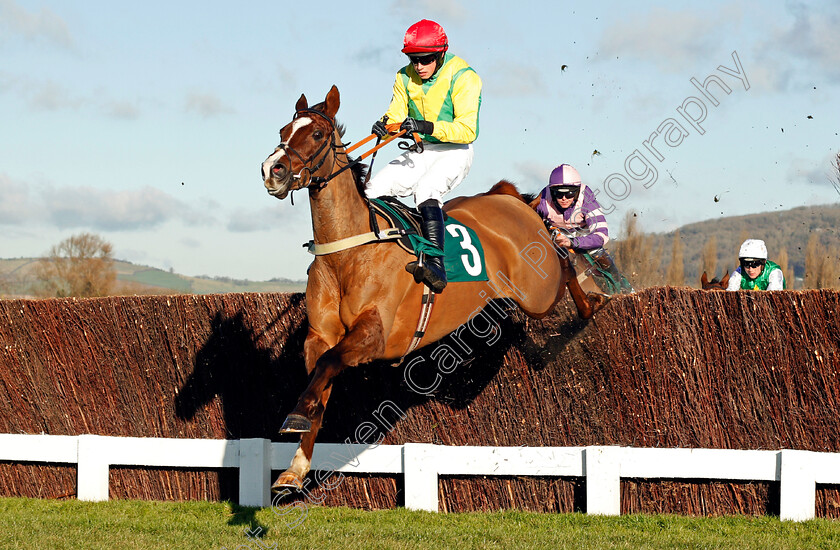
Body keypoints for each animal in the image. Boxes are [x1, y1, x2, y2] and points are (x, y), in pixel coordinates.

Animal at [260, 85, 600, 492]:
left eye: (316, 134)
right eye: (283, 131)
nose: (272, 170)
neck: (348, 251)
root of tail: (505, 197)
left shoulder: (375, 334)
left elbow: (328, 365)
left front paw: (295, 418)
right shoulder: (320, 335)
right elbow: (319, 380)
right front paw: (294, 468)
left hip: (540, 290)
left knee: (562, 261)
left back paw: (590, 301)